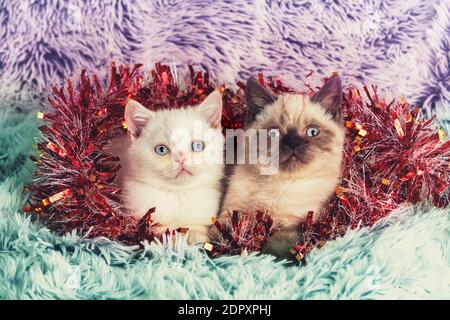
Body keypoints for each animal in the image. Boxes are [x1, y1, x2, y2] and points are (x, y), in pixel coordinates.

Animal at [110, 91, 223, 244]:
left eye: (198, 146)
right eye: (161, 150)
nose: (181, 158)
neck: (178, 194)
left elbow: (195, 227)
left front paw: (196, 235)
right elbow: (163, 230)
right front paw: (174, 237)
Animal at [218, 76, 344, 258]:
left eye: (312, 132)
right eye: (274, 133)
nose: (293, 143)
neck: (282, 183)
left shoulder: (299, 223)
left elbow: (278, 243)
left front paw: (270, 256)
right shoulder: (232, 213)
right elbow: (221, 233)